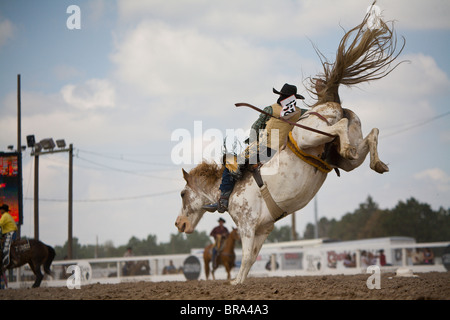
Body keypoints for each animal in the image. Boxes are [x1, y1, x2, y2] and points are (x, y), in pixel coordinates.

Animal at [175, 6, 404, 284]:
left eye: (183, 194)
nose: (179, 224)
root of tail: (329, 100)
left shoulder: (248, 225)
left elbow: (246, 257)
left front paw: (236, 282)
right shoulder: (263, 229)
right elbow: (251, 258)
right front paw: (239, 281)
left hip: (310, 137)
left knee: (340, 128)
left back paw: (355, 150)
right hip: (348, 157)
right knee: (371, 135)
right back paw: (378, 163)